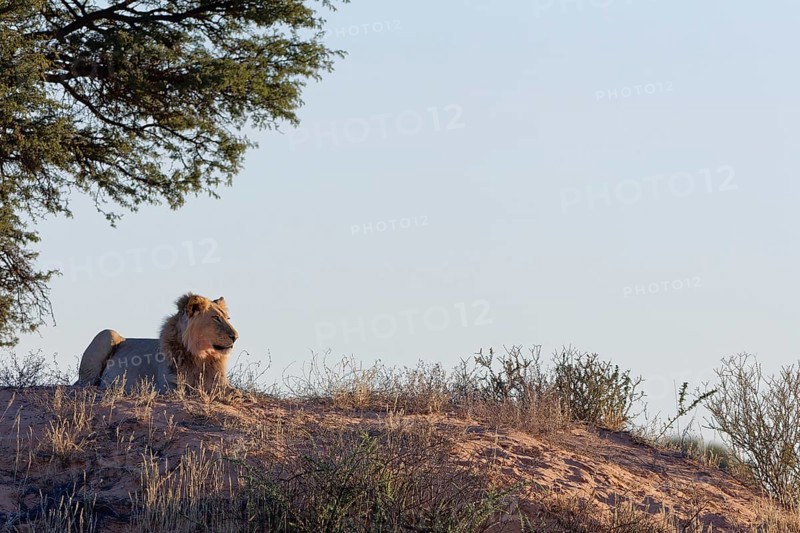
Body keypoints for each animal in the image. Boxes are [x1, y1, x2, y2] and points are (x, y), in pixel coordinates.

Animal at [76, 293, 239, 393]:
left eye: (227, 318)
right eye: (216, 318)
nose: (236, 337)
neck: (201, 356)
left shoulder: (220, 381)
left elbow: (233, 391)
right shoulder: (168, 385)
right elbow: (193, 389)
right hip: (107, 333)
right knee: (86, 383)